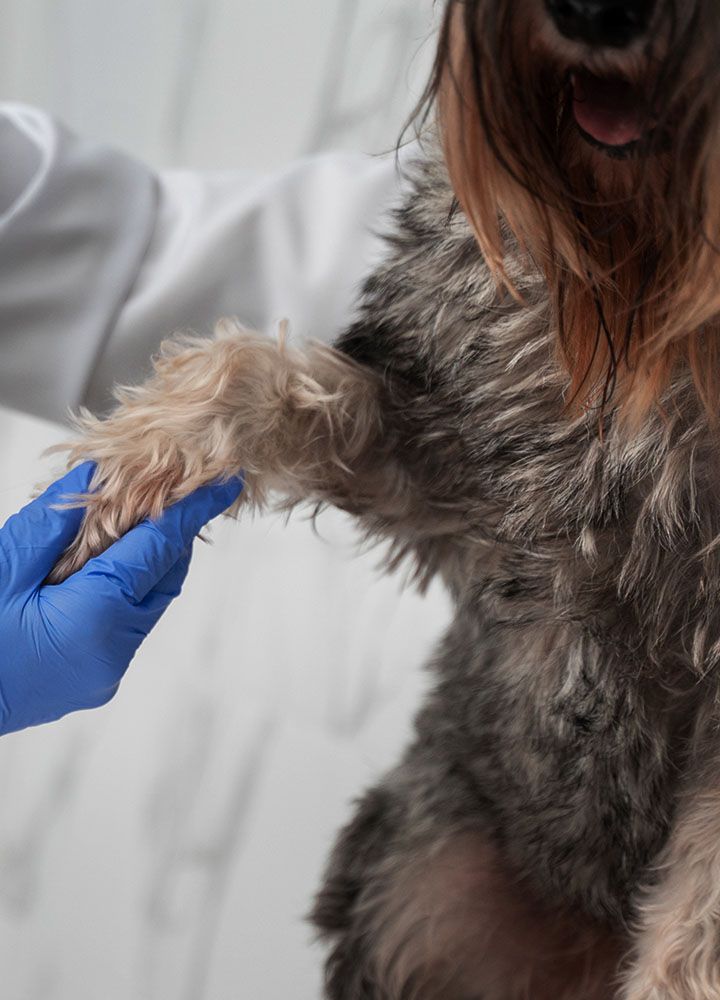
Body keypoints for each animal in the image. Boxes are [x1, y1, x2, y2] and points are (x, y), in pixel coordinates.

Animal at [49, 1, 720, 1000]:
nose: (591, 16)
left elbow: (695, 933)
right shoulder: (441, 453)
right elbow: (260, 374)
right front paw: (120, 487)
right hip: (419, 884)